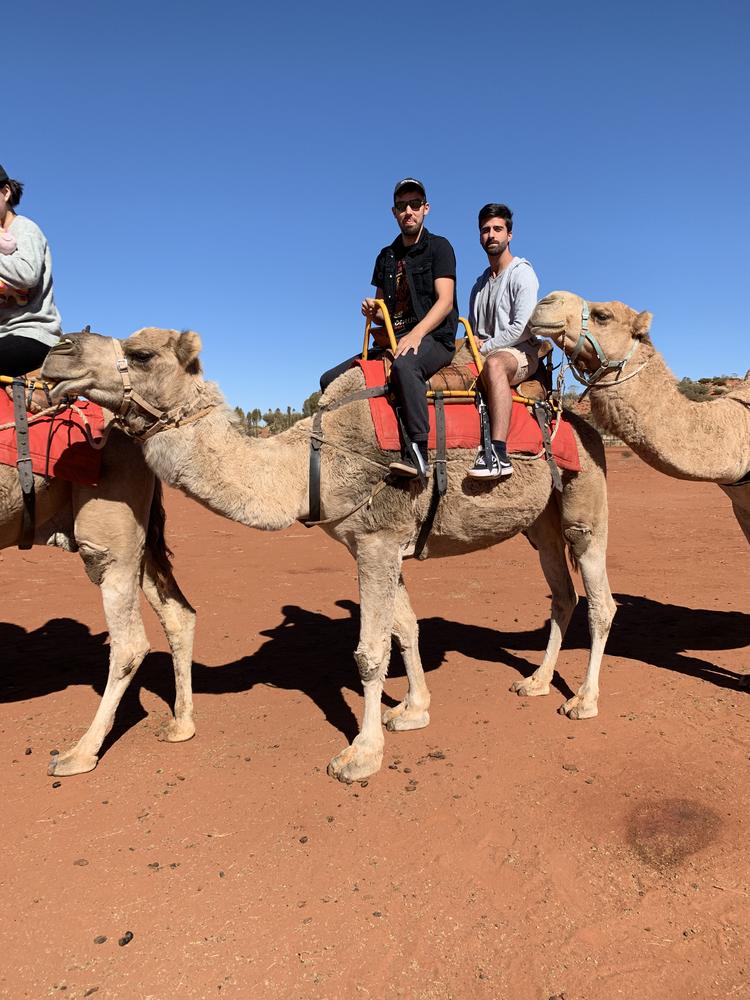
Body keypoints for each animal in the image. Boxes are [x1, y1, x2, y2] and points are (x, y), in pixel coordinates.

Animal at [41, 328, 616, 780]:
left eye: (139, 354)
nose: (58, 354)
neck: (311, 465)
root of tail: (581, 421)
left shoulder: (377, 540)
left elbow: (369, 651)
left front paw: (361, 755)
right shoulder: (379, 542)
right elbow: (405, 629)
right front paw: (412, 711)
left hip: (584, 500)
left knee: (600, 597)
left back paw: (583, 701)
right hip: (540, 523)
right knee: (562, 593)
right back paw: (536, 683)